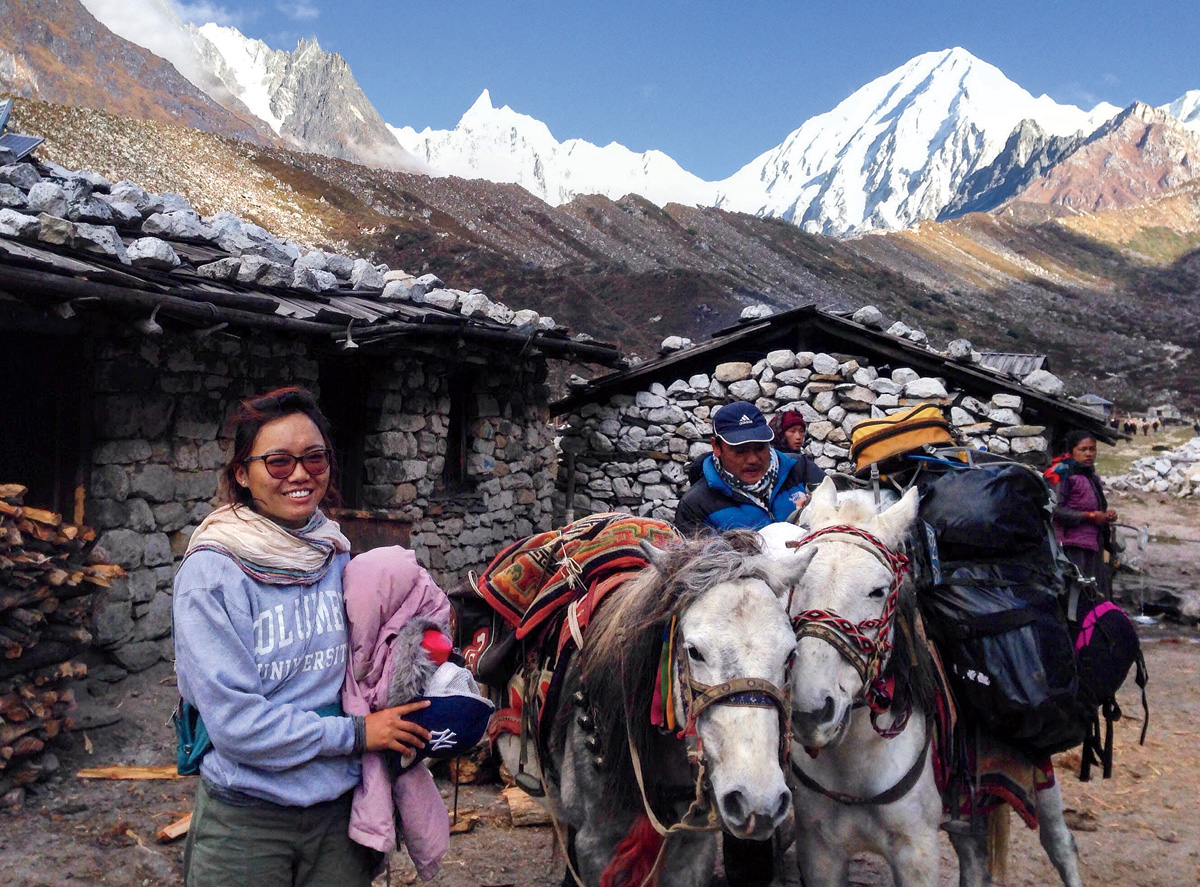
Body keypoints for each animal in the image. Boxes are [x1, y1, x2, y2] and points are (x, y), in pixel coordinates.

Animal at [763, 477, 1084, 887]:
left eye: (878, 590)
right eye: (798, 580)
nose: (810, 710)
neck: (854, 766)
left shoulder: (917, 852)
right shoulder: (820, 851)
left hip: (1040, 770)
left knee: (1060, 844)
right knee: (974, 857)